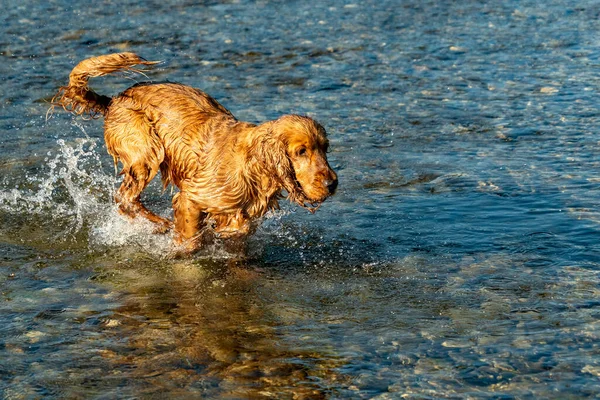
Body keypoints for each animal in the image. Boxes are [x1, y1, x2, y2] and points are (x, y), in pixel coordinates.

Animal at [51, 52, 338, 252]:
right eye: (301, 151)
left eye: (325, 148)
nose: (332, 184)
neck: (253, 166)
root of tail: (113, 100)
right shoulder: (192, 197)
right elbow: (191, 237)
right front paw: (183, 247)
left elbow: (236, 232)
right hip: (146, 152)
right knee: (125, 198)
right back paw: (160, 225)